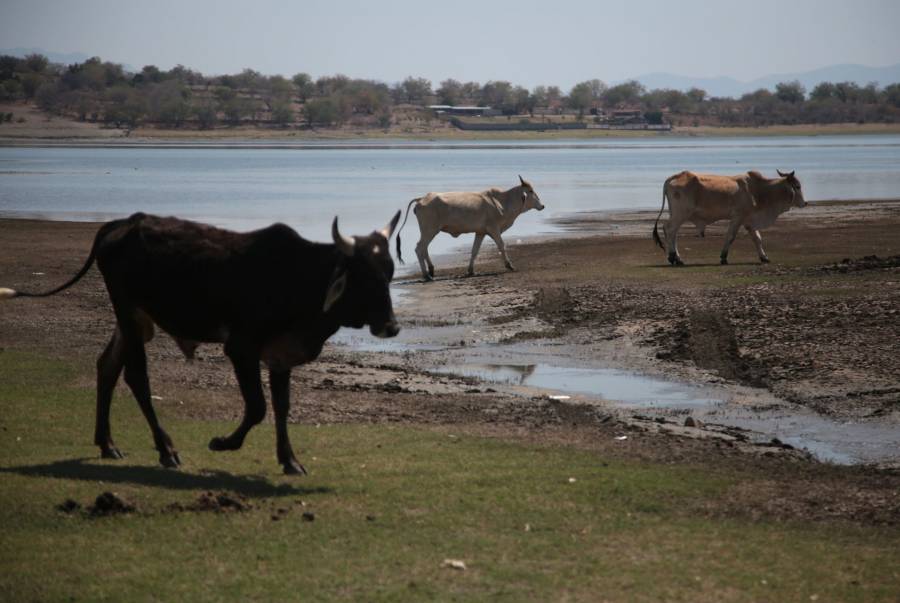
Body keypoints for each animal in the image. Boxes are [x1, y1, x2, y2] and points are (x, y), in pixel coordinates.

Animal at [0, 212, 400, 476]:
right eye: (364, 277)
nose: (392, 327)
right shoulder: (241, 348)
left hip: (134, 319)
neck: (299, 276)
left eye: (389, 272)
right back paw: (166, 449)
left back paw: (108, 444)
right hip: (128, 313)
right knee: (136, 378)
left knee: (107, 367)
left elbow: (282, 407)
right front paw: (222, 443)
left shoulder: (280, 354)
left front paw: (290, 460)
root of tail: (121, 223)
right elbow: (258, 407)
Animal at [398, 173, 544, 280]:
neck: (502, 202)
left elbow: (475, 251)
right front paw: (510, 266)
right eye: (530, 191)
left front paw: (470, 271)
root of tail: (422, 199)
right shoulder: (494, 229)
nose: (542, 206)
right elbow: (502, 245)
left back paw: (431, 270)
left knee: (424, 248)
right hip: (429, 230)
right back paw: (426, 275)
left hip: (429, 231)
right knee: (419, 248)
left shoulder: (480, 232)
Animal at [652, 169, 808, 266]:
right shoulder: (737, 217)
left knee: (672, 233)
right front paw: (723, 257)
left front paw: (764, 257)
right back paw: (674, 257)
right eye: (797, 186)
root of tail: (673, 177)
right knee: (670, 230)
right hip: (681, 214)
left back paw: (676, 258)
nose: (805, 203)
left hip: (677, 214)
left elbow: (757, 238)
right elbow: (730, 237)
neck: (758, 190)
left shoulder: (748, 220)